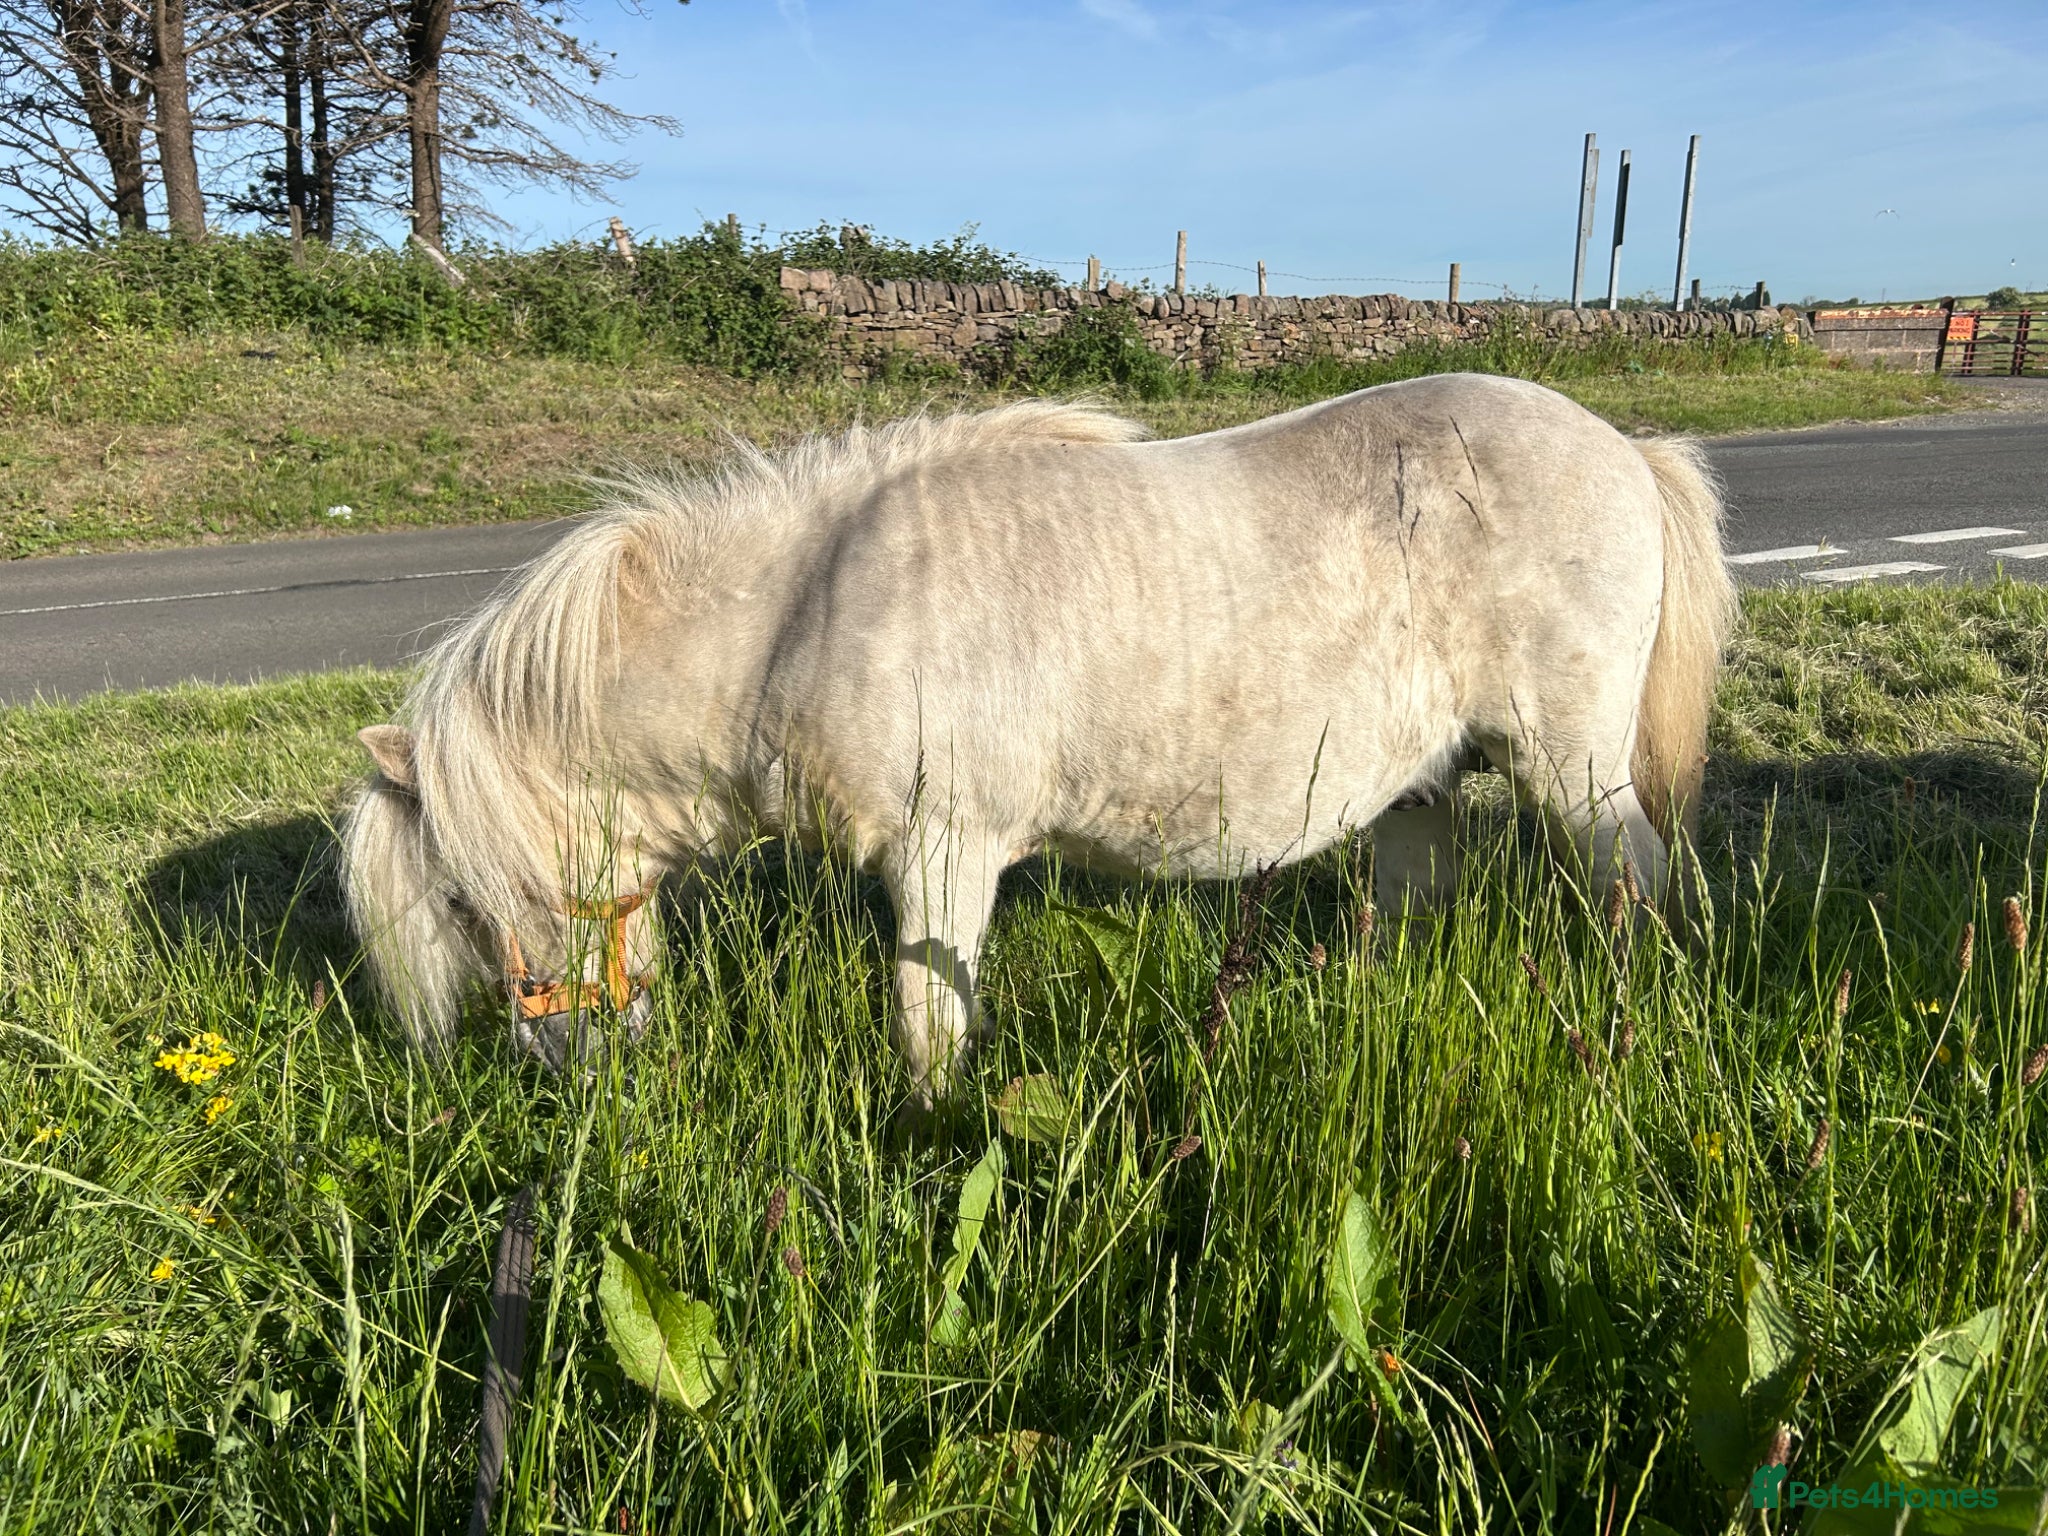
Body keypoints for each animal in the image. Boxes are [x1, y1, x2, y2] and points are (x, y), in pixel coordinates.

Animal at [340, 372, 1735, 1100]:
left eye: (462, 899)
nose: (559, 1061)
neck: (806, 613)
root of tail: (1621, 446)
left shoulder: (944, 854)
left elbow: (926, 1027)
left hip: (1574, 772)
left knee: (1633, 888)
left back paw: (1627, 1034)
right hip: (1418, 784)